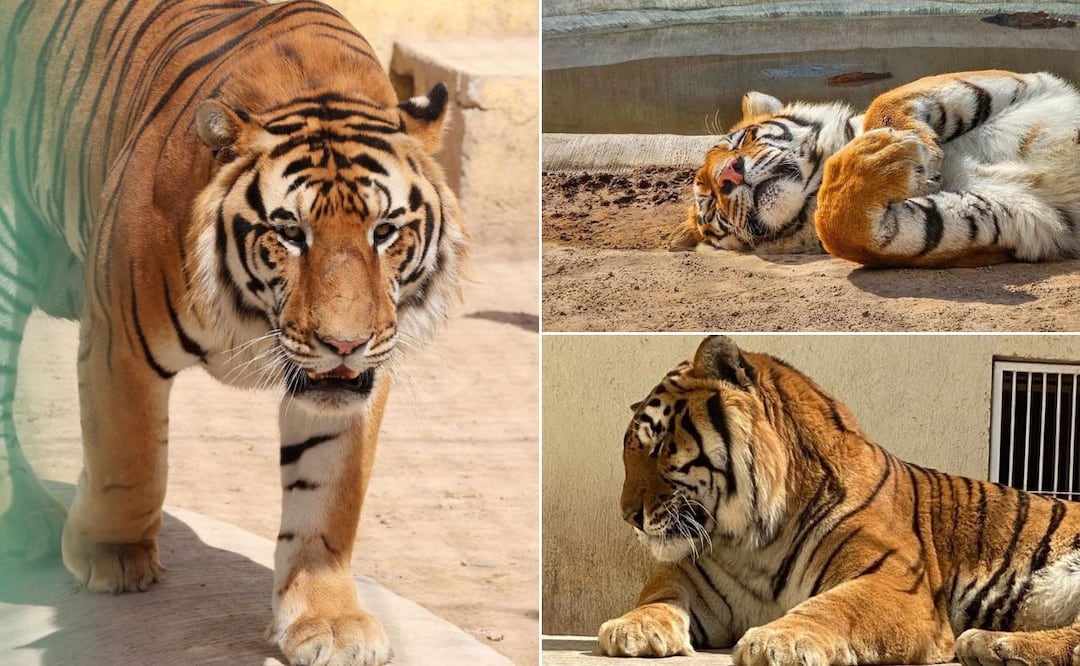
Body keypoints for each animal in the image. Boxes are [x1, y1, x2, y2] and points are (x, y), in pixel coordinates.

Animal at [0, 1, 466, 664]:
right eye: (291, 232)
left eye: (384, 231)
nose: (344, 345)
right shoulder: (120, 337)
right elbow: (129, 457)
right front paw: (112, 555)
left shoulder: (355, 383)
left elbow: (327, 500)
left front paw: (328, 621)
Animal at [600, 335, 1080, 666]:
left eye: (659, 447)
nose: (628, 517)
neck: (753, 540)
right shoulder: (696, 580)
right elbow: (659, 596)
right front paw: (630, 628)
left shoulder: (895, 582)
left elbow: (836, 607)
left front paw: (777, 640)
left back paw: (990, 642)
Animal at [669, 70, 1080, 267]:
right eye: (710, 203)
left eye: (742, 141)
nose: (729, 174)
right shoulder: (1030, 217)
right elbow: (836, 225)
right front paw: (886, 159)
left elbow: (888, 98)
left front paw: (908, 146)